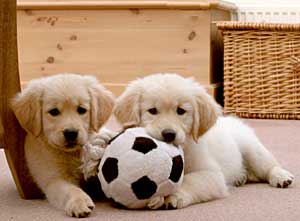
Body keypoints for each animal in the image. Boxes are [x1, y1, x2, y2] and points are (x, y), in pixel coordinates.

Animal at [11, 74, 114, 218]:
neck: (71, 153)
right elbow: (70, 189)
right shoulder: (53, 179)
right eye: (54, 111)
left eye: (81, 110)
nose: (71, 133)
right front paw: (79, 202)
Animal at [111, 74, 294, 209]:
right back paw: (241, 177)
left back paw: (281, 176)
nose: (169, 134)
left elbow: (191, 180)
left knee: (268, 165)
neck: (183, 149)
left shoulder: (213, 175)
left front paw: (174, 196)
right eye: (152, 111)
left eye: (181, 111)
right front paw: (158, 198)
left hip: (252, 148)